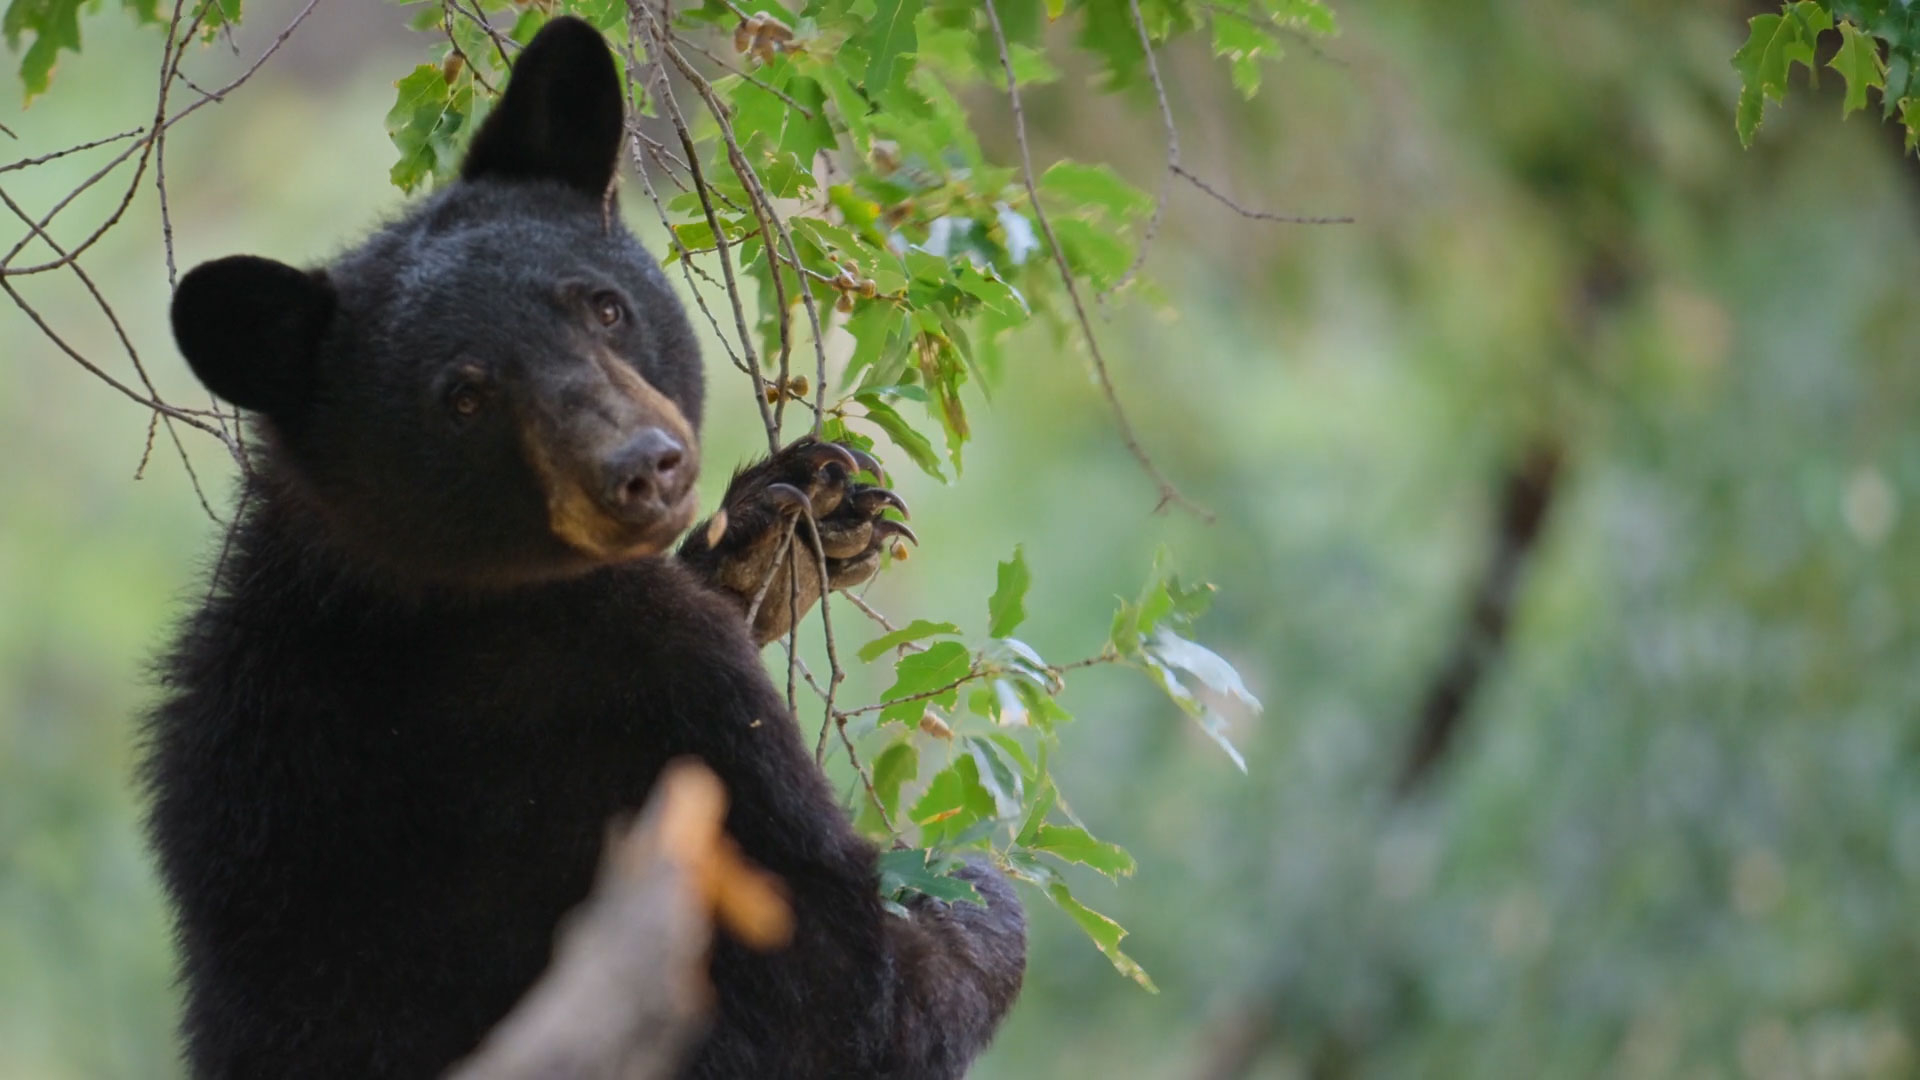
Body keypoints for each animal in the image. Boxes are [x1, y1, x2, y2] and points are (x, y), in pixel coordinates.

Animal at [142, 18, 1029, 1076]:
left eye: (603, 306)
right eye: (465, 397)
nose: (643, 467)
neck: (419, 586)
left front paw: (793, 522)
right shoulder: (658, 705)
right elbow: (842, 991)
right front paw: (968, 891)